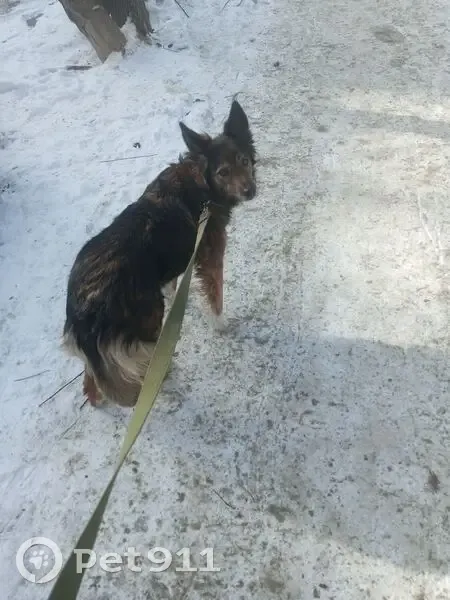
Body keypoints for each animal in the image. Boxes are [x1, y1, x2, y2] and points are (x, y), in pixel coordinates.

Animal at [62, 99, 257, 408]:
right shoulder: (211, 258)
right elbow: (216, 299)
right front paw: (222, 325)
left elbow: (175, 284)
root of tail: (81, 309)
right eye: (223, 172)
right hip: (149, 319)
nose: (251, 191)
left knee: (90, 382)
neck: (201, 182)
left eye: (244, 161)